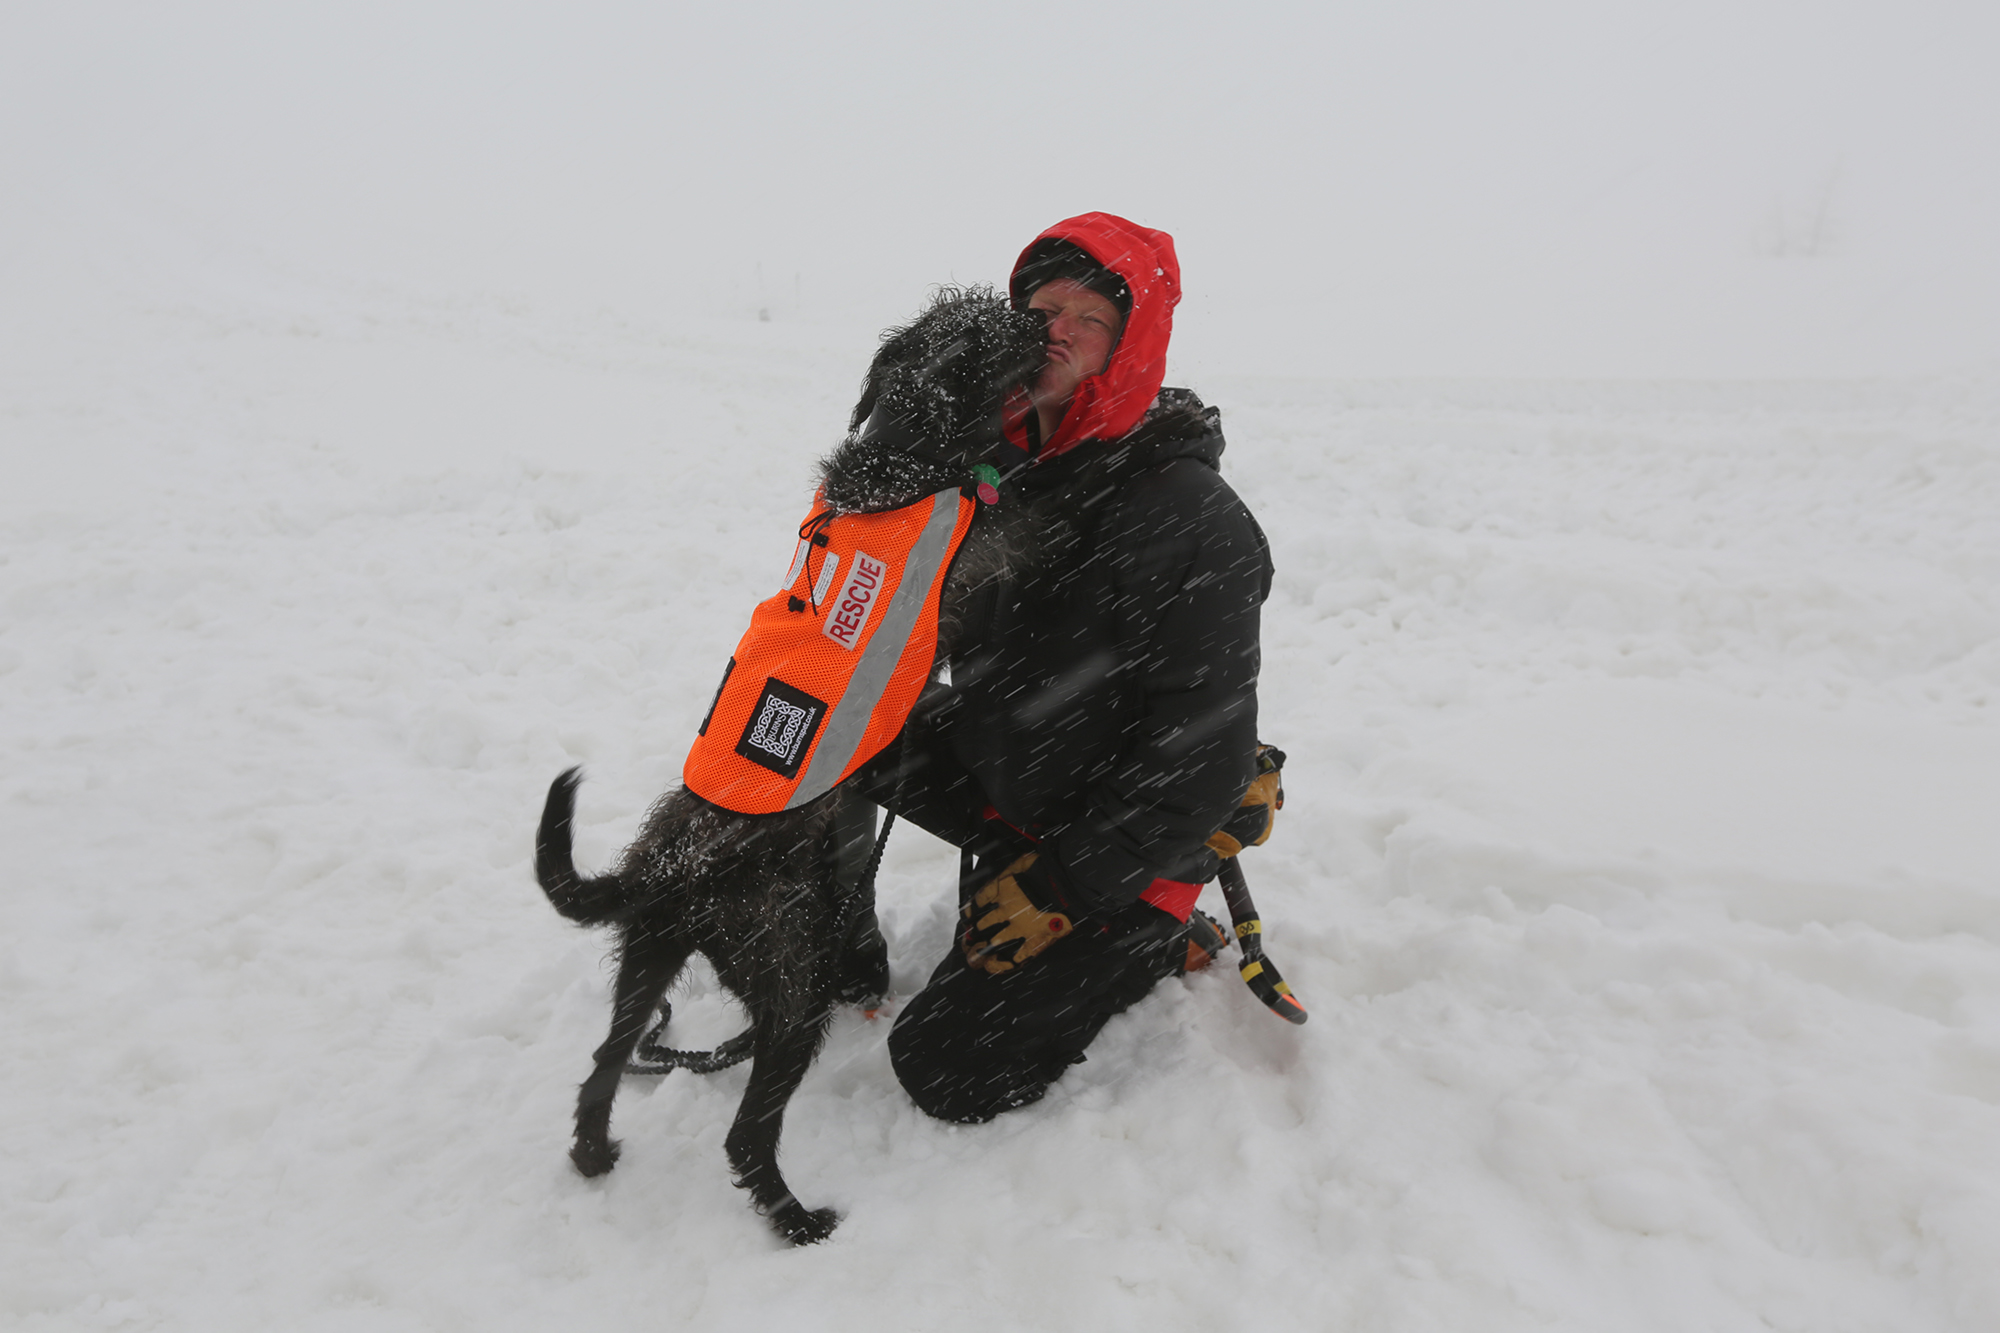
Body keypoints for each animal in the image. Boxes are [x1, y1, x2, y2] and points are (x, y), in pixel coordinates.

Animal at [532, 286, 1048, 1240]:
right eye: (992, 326)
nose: (1038, 320)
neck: (904, 452)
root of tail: (672, 867)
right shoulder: (987, 554)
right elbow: (1032, 513)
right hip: (788, 980)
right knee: (745, 1132)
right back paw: (795, 1215)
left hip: (649, 956)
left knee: (602, 1065)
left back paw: (594, 1153)